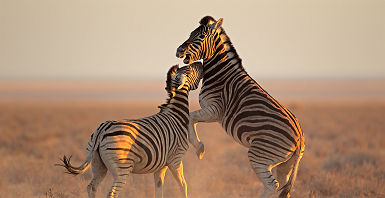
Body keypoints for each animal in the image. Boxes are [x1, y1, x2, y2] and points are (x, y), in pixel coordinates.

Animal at [58, 62, 202, 198]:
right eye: (189, 70)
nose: (200, 63)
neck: (176, 115)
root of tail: (101, 131)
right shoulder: (176, 159)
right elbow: (183, 186)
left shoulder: (161, 165)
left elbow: (159, 188)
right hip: (122, 168)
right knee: (111, 193)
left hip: (98, 164)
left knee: (91, 187)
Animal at [174, 15, 304, 198]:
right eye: (190, 33)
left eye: (200, 36)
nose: (178, 50)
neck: (220, 74)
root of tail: (300, 138)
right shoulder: (212, 111)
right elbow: (191, 118)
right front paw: (199, 148)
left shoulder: (215, 110)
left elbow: (191, 118)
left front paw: (199, 149)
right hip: (285, 164)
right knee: (283, 188)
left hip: (259, 155)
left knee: (272, 185)